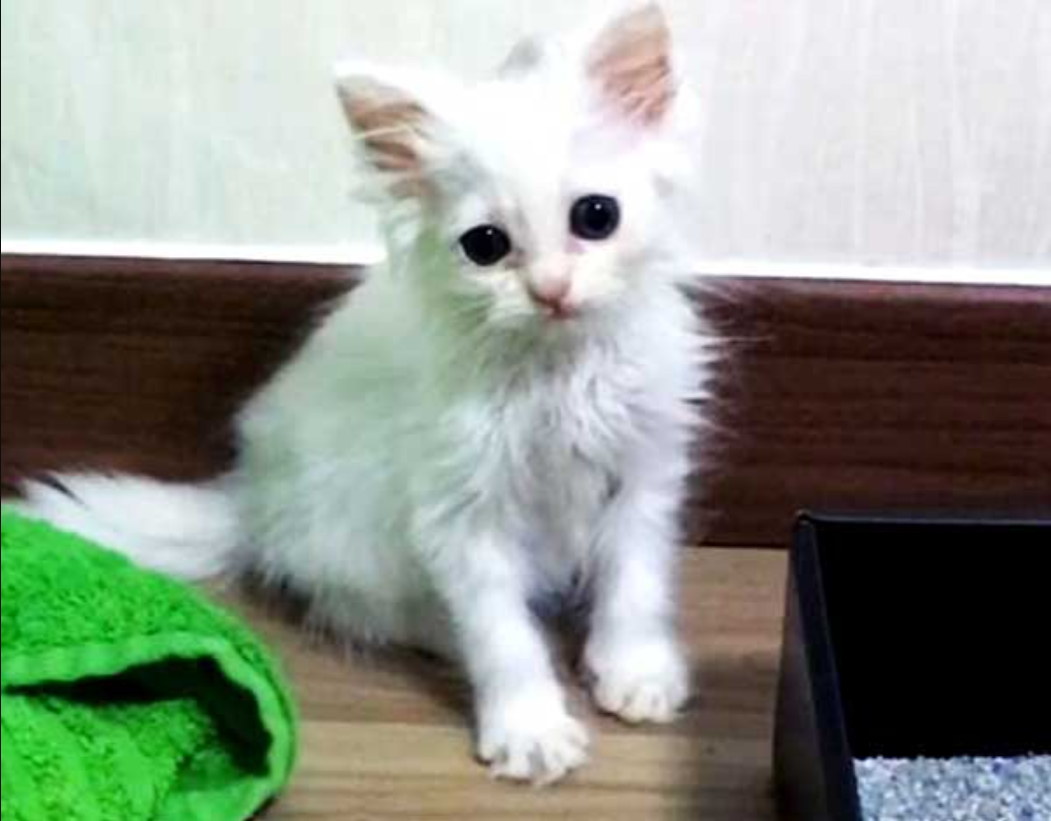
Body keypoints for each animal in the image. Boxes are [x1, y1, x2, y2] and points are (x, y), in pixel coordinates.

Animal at [14, 6, 714, 786]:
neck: (554, 371)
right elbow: (501, 633)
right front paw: (530, 726)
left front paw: (635, 672)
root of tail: (252, 501)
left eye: (596, 216)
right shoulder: (459, 514)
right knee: (377, 613)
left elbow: (635, 586)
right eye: (485, 246)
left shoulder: (644, 474)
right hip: (357, 541)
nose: (551, 291)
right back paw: (452, 634)